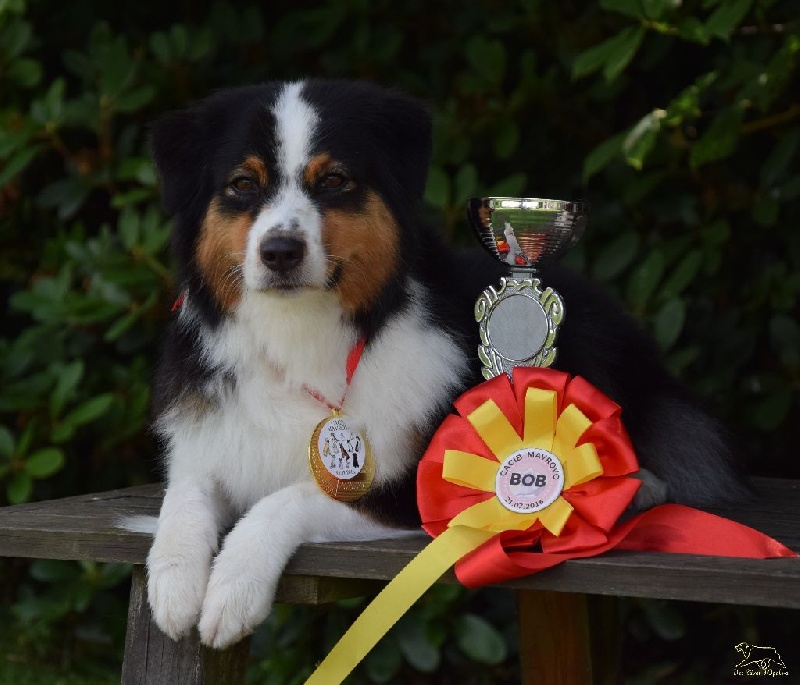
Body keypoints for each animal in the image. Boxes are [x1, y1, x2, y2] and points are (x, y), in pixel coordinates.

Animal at [141, 79, 750, 649]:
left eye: (334, 180)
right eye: (243, 185)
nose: (280, 252)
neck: (301, 332)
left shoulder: (408, 486)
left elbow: (282, 500)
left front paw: (233, 588)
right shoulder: (210, 445)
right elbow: (182, 499)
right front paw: (173, 586)